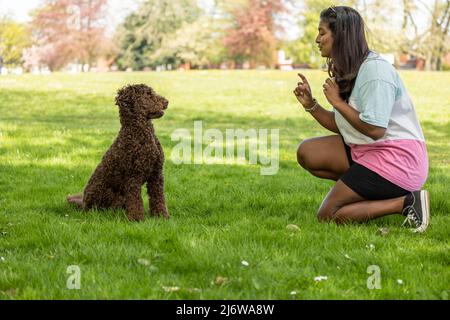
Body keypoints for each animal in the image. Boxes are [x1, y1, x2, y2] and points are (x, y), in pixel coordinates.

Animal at [67, 84, 170, 221]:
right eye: (148, 94)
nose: (167, 102)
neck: (140, 132)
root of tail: (83, 201)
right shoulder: (133, 177)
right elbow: (136, 201)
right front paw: (137, 219)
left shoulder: (156, 174)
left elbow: (158, 198)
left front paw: (161, 216)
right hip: (104, 190)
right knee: (98, 208)